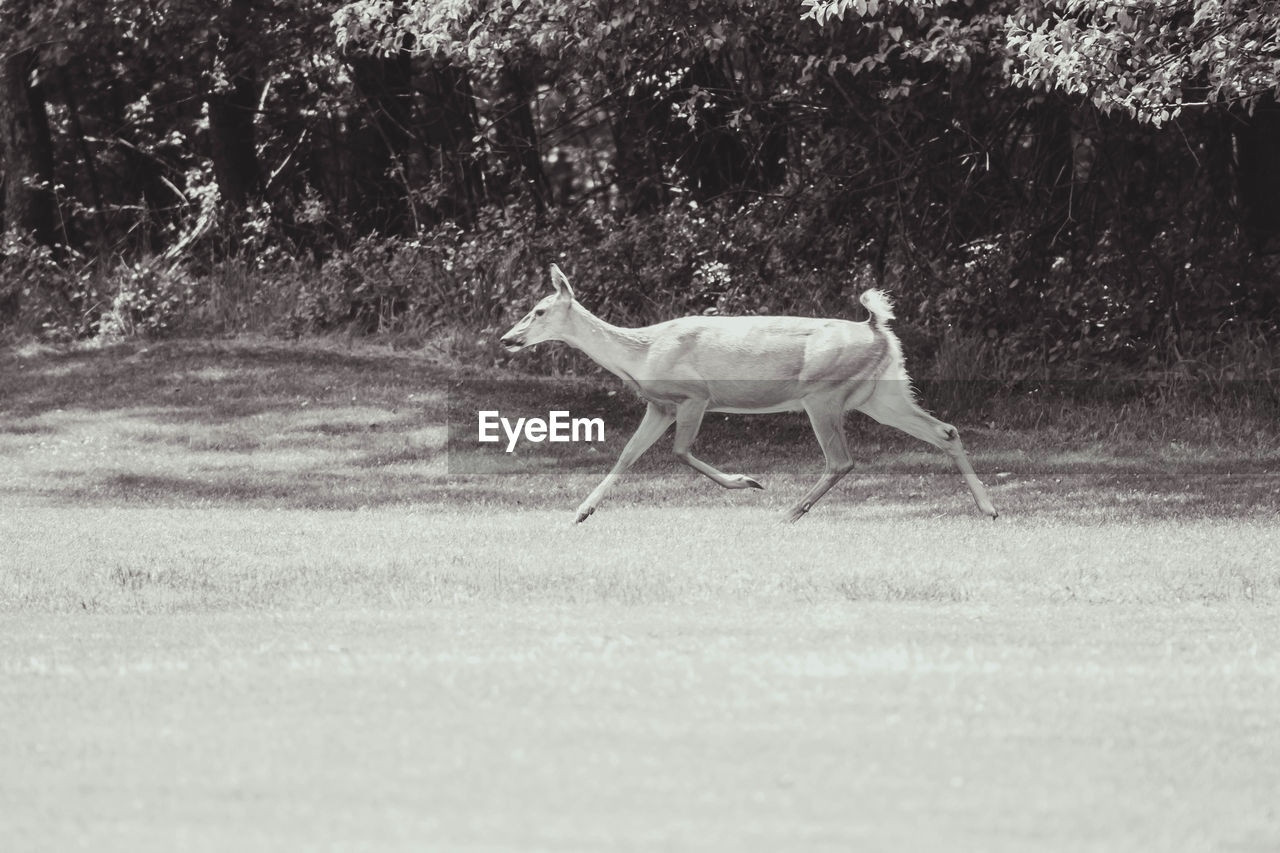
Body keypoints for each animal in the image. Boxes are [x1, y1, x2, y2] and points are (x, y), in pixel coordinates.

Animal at [499, 262, 998, 522]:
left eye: (538, 310)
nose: (506, 338)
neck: (642, 353)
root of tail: (880, 330)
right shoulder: (659, 404)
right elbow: (627, 454)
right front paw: (581, 511)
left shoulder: (694, 396)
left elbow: (679, 453)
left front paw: (748, 481)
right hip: (881, 394)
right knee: (946, 430)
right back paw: (989, 508)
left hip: (823, 392)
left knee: (842, 460)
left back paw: (789, 512)